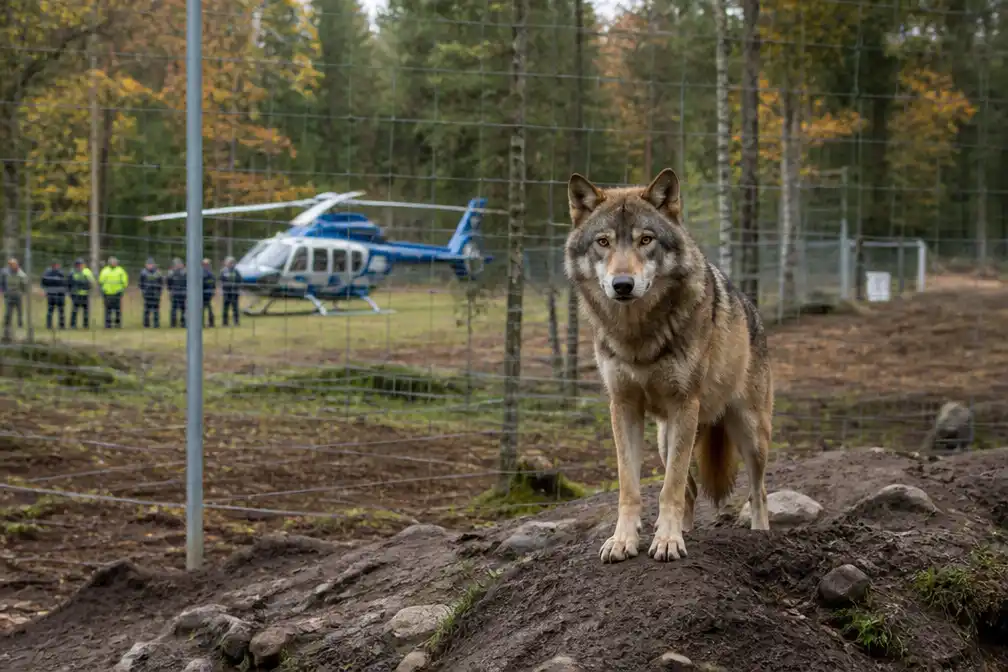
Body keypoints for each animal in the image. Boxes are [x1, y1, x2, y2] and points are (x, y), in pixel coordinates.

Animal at [564, 168, 773, 564]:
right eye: (603, 242)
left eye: (646, 239)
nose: (623, 284)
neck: (638, 335)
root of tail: (753, 310)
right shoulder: (623, 406)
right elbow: (631, 487)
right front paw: (624, 541)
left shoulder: (683, 405)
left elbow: (669, 488)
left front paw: (667, 543)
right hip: (666, 439)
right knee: (690, 490)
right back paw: (683, 530)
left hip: (749, 433)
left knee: (758, 492)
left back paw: (759, 534)